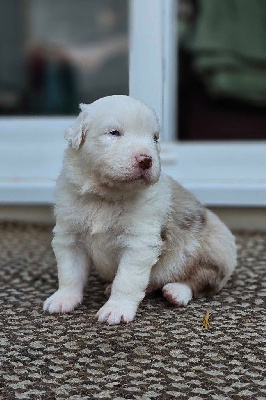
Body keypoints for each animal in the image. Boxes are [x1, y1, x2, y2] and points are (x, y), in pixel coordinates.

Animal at [43, 95, 237, 324]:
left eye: (154, 138)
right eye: (114, 132)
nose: (146, 160)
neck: (105, 197)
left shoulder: (138, 244)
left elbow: (126, 280)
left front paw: (116, 309)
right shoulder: (70, 236)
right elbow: (69, 273)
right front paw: (63, 299)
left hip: (215, 248)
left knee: (202, 280)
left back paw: (176, 292)